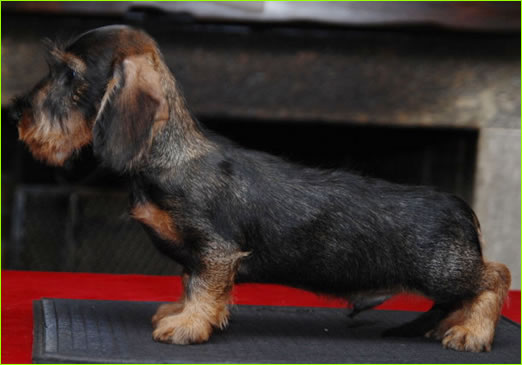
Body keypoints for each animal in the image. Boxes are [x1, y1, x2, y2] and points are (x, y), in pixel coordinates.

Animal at [11, 25, 508, 350]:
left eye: (71, 75)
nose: (16, 112)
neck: (170, 157)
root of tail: (459, 205)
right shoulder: (199, 257)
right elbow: (190, 283)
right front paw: (181, 312)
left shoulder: (216, 249)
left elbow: (204, 288)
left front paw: (189, 325)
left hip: (443, 270)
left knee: (495, 277)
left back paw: (473, 332)